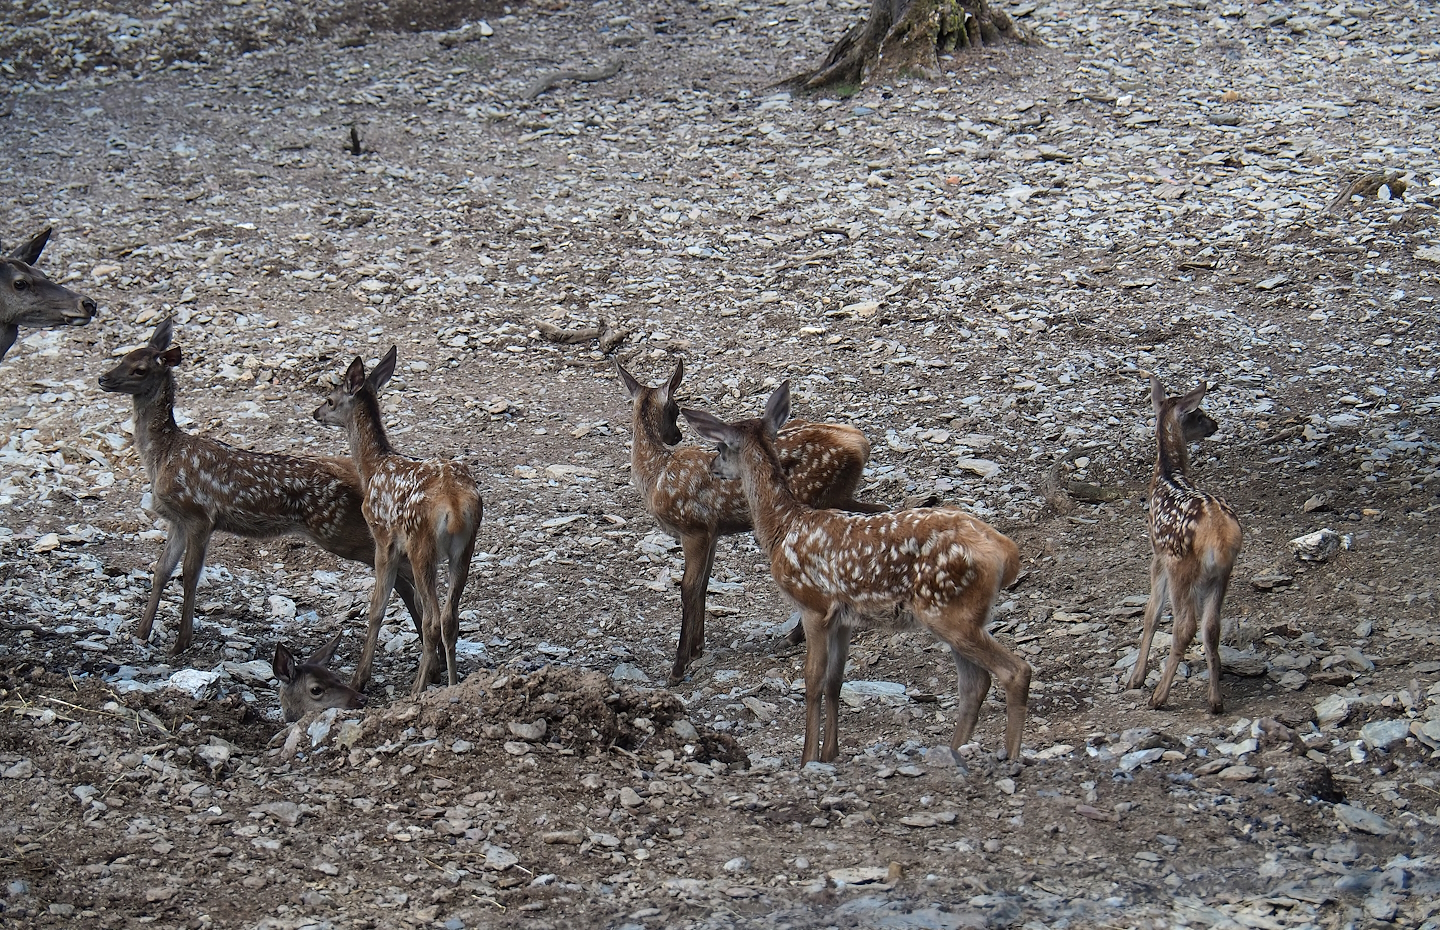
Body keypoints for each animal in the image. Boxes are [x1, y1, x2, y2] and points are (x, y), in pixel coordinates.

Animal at [97, 318, 424, 655]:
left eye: (139, 369)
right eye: (123, 357)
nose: (103, 378)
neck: (164, 454)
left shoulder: (199, 515)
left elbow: (189, 574)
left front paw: (180, 643)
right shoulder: (177, 519)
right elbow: (161, 569)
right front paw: (141, 633)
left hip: (340, 529)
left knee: (405, 574)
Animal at [313, 347, 483, 699]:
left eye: (331, 399)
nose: (315, 413)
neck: (373, 466)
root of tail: (454, 503)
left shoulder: (383, 539)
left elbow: (377, 608)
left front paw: (359, 678)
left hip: (422, 545)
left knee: (433, 620)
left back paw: (417, 688)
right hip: (464, 548)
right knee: (450, 618)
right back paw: (452, 683)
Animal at [617, 358, 887, 685]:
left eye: (677, 408)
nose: (677, 436)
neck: (655, 475)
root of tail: (860, 442)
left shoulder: (694, 527)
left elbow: (688, 588)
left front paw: (679, 666)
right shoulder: (713, 532)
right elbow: (704, 585)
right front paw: (697, 648)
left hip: (820, 497)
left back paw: (795, 635)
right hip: (839, 496)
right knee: (880, 510)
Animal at [683, 382, 1031, 765]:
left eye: (720, 447)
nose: (713, 467)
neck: (783, 526)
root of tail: (1005, 552)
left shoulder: (814, 605)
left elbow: (813, 680)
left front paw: (808, 758)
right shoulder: (844, 618)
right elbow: (836, 680)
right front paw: (831, 752)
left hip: (950, 609)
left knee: (1015, 671)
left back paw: (1010, 755)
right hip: (956, 614)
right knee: (974, 684)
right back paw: (954, 752)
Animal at [1124, 375, 1243, 714]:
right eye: (1199, 415)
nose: (1215, 424)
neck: (1168, 475)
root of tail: (1220, 535)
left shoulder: (1158, 555)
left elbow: (1151, 614)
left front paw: (1135, 678)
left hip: (1182, 566)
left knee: (1185, 626)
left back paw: (1158, 696)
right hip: (1221, 574)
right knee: (1212, 628)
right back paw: (1215, 700)